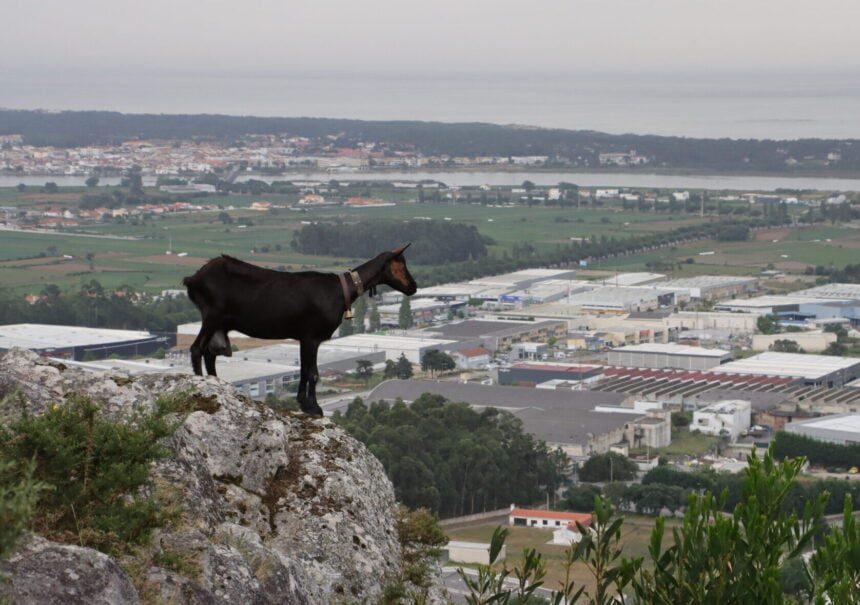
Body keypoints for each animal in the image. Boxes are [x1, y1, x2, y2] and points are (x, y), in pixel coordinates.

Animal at [182, 244, 417, 416]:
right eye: (400, 264)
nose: (413, 287)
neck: (341, 290)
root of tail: (193, 279)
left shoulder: (305, 338)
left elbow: (304, 370)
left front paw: (303, 404)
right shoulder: (311, 336)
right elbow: (313, 373)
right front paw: (314, 408)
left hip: (219, 323)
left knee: (209, 353)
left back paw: (219, 386)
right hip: (212, 315)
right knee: (197, 349)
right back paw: (202, 389)